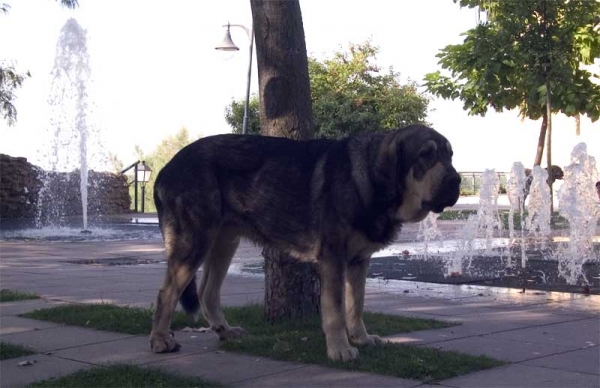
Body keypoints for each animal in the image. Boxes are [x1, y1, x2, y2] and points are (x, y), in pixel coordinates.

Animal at [149, 123, 460, 360]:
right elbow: (335, 310)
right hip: (193, 241)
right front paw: (340, 350)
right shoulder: (333, 259)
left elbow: (356, 305)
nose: (456, 180)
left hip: (224, 241)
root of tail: (166, 169)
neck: (369, 180)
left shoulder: (359, 261)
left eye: (450, 156)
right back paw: (160, 341)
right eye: (426, 155)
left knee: (207, 292)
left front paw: (361, 338)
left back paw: (225, 331)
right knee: (167, 293)